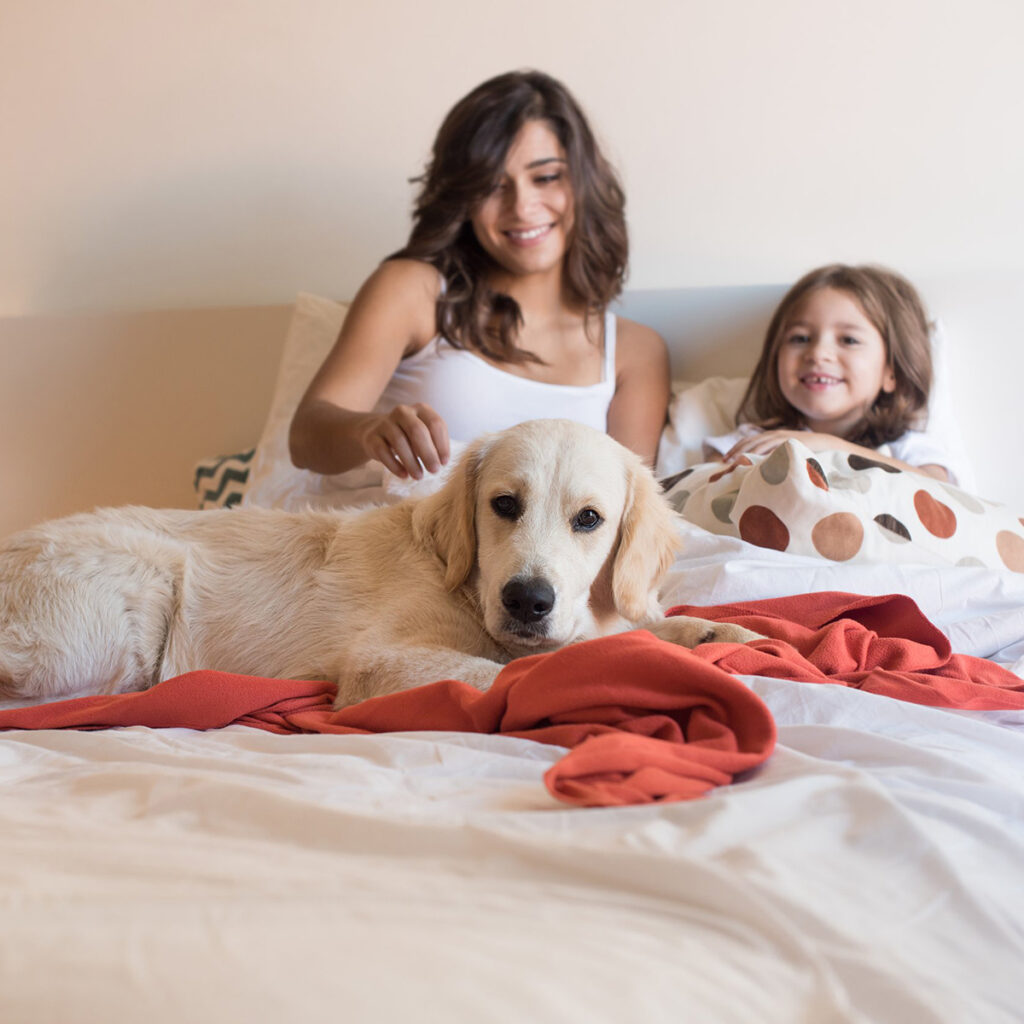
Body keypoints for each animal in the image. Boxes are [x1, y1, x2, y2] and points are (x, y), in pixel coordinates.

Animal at [0, 419, 753, 708]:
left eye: (589, 520)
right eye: (504, 505)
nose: (527, 600)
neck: (465, 583)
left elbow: (640, 625)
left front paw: (710, 631)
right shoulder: (381, 660)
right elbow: (507, 669)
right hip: (139, 591)